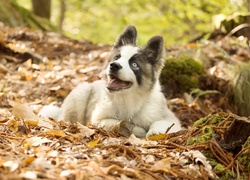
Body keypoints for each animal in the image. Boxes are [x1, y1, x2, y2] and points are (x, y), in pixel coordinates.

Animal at [41, 25, 182, 137]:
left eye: (134, 65)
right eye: (116, 57)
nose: (114, 65)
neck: (128, 99)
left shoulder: (171, 118)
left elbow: (161, 122)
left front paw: (155, 132)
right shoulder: (98, 119)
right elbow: (120, 123)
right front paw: (139, 130)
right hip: (82, 91)